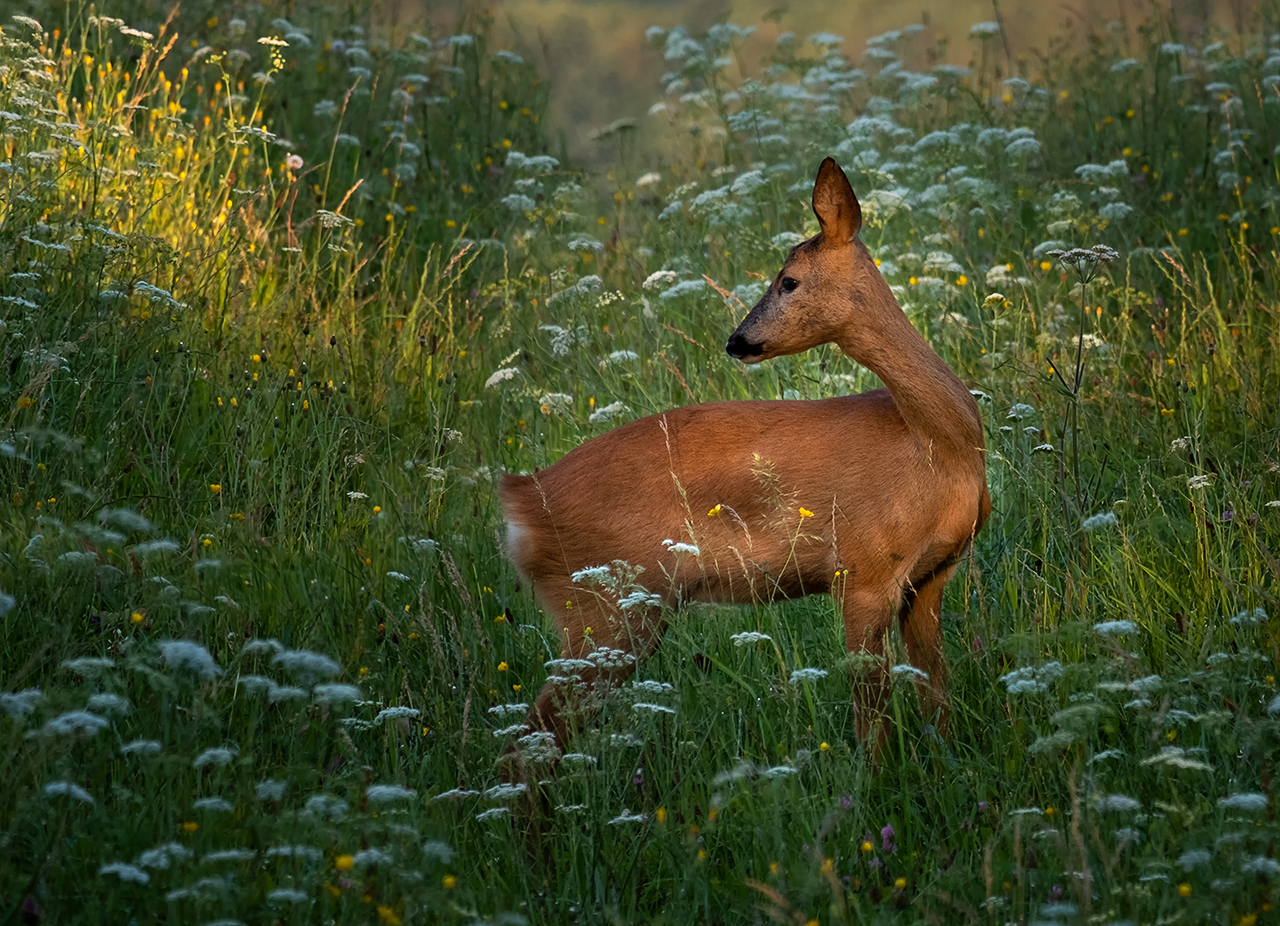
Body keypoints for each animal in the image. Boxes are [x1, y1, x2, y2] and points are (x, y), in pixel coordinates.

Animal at [499, 155, 988, 758]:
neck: (936, 445)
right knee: (529, 739)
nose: (737, 340)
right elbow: (870, 720)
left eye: (788, 280)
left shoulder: (932, 576)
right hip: (605, 605)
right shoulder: (862, 571)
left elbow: (937, 698)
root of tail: (520, 500)